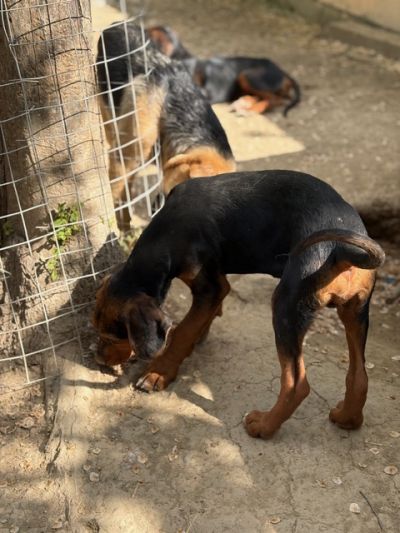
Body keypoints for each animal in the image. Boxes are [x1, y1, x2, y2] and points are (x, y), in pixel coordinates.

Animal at [93, 170, 385, 439]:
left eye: (111, 336)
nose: (99, 359)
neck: (166, 234)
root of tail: (341, 250)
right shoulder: (215, 286)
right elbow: (198, 321)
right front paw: (198, 337)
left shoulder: (210, 287)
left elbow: (183, 332)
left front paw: (158, 374)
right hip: (356, 311)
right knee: (359, 376)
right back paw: (347, 418)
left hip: (286, 306)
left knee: (296, 384)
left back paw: (263, 426)